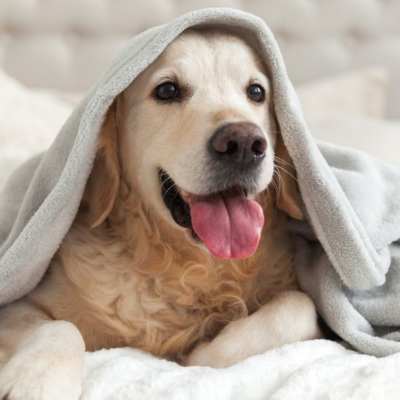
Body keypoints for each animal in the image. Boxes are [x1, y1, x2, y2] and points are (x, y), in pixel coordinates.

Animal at [0, 28, 320, 400]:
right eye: (167, 90)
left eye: (257, 92)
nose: (243, 143)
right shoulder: (20, 303)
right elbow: (60, 326)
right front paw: (35, 381)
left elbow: (300, 306)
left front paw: (205, 351)